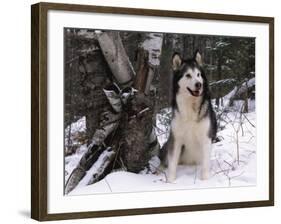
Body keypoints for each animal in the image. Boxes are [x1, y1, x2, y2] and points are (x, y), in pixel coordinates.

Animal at [160, 50, 217, 182]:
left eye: (198, 74)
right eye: (188, 75)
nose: (199, 84)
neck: (190, 107)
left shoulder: (206, 138)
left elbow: (205, 165)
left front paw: (205, 181)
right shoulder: (176, 139)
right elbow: (172, 163)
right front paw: (170, 181)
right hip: (168, 145)